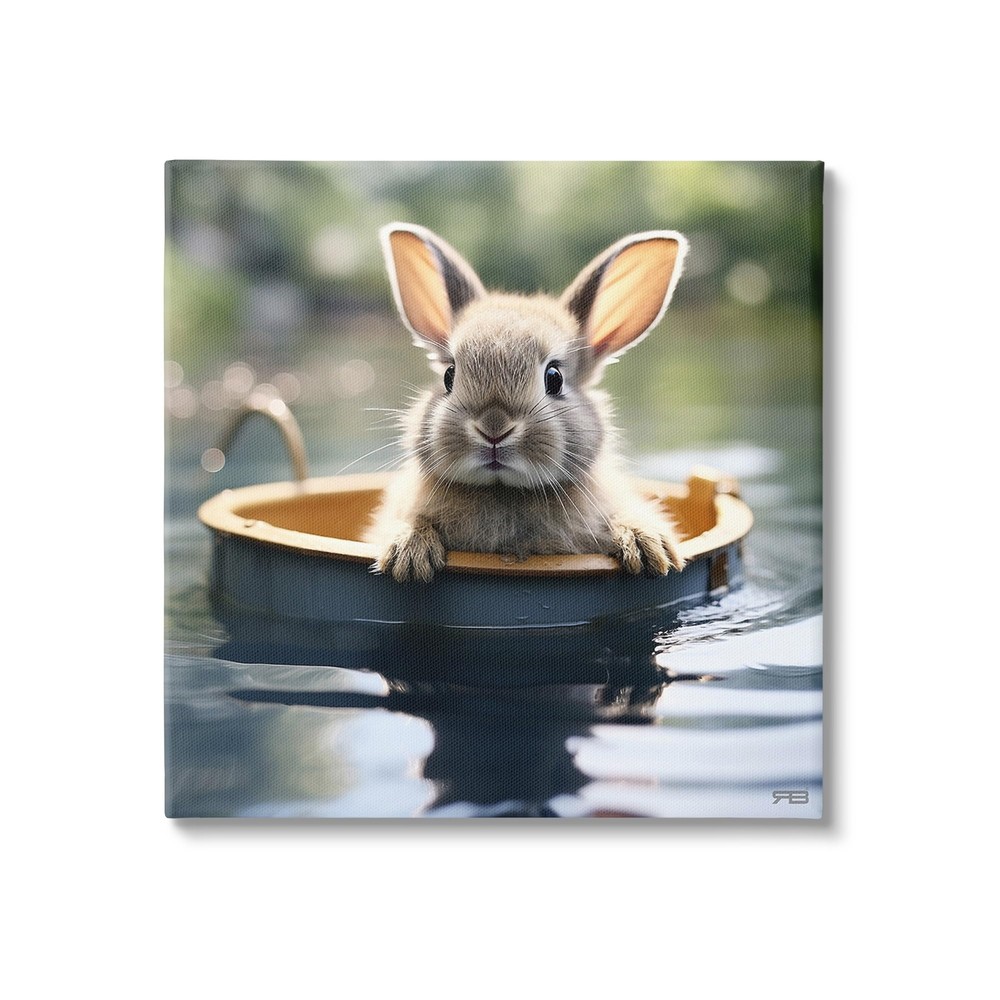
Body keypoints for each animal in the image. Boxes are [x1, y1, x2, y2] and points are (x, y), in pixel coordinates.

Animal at [364, 222, 690, 583]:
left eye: (554, 378)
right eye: (449, 375)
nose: (493, 428)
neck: (503, 491)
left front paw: (650, 548)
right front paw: (408, 555)